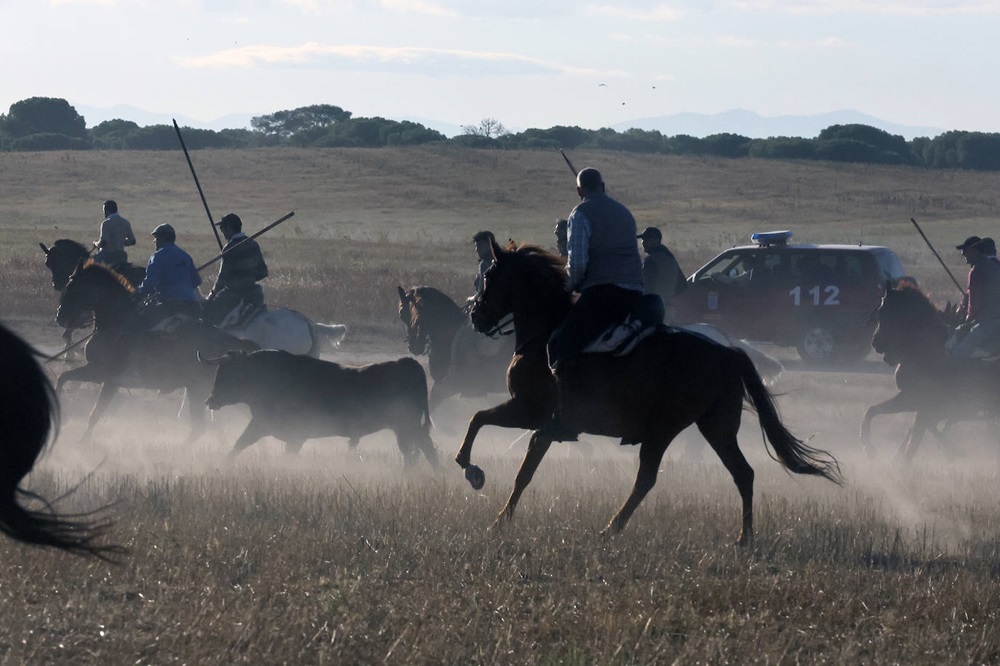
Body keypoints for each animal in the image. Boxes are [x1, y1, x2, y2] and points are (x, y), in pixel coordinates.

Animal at [54, 260, 258, 440]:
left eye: (71, 287)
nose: (59, 317)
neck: (116, 321)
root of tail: (233, 342)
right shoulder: (104, 377)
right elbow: (81, 398)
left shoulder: (102, 375)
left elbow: (84, 400)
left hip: (199, 389)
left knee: (200, 427)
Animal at [199, 348, 438, 466]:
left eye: (228, 375)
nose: (210, 401)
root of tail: (407, 362)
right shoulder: (266, 428)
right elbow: (239, 444)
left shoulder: (286, 434)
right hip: (405, 430)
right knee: (419, 452)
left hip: (406, 428)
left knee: (420, 452)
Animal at [458, 241, 840, 544]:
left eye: (489, 275)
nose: (474, 315)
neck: (544, 332)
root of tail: (725, 351)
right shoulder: (537, 420)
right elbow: (514, 456)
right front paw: (495, 506)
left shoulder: (530, 410)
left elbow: (489, 432)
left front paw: (475, 477)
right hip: (716, 426)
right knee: (743, 473)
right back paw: (744, 537)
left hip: (664, 430)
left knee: (646, 480)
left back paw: (611, 528)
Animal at [860, 282, 1000, 462]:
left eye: (884, 312)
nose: (876, 343)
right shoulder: (914, 401)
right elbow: (873, 411)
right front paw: (869, 448)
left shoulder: (921, 402)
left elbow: (914, 440)